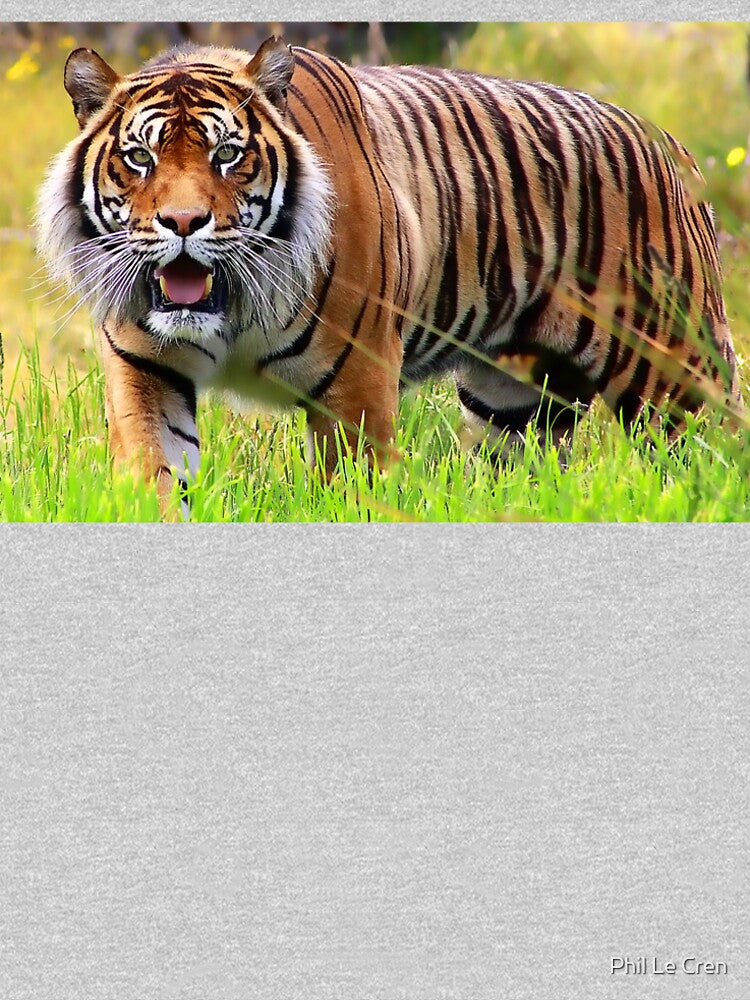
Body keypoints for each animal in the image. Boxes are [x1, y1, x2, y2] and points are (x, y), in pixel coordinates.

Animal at [38, 36, 743, 513]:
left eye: (228, 155)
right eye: (139, 158)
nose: (183, 222)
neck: (232, 307)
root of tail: (666, 143)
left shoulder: (357, 381)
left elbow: (349, 491)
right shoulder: (145, 371)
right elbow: (155, 477)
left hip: (675, 377)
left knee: (718, 452)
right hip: (515, 404)